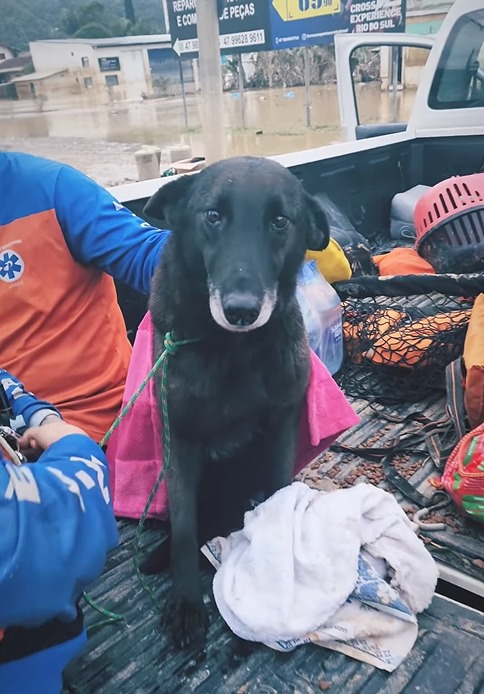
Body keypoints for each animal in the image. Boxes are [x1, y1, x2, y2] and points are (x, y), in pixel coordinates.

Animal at [142, 156, 328, 648]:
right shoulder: (181, 444)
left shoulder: (281, 427)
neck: (232, 349)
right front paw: (186, 602)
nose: (241, 310)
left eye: (280, 221)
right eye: (212, 216)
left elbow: (279, 499)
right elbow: (185, 528)